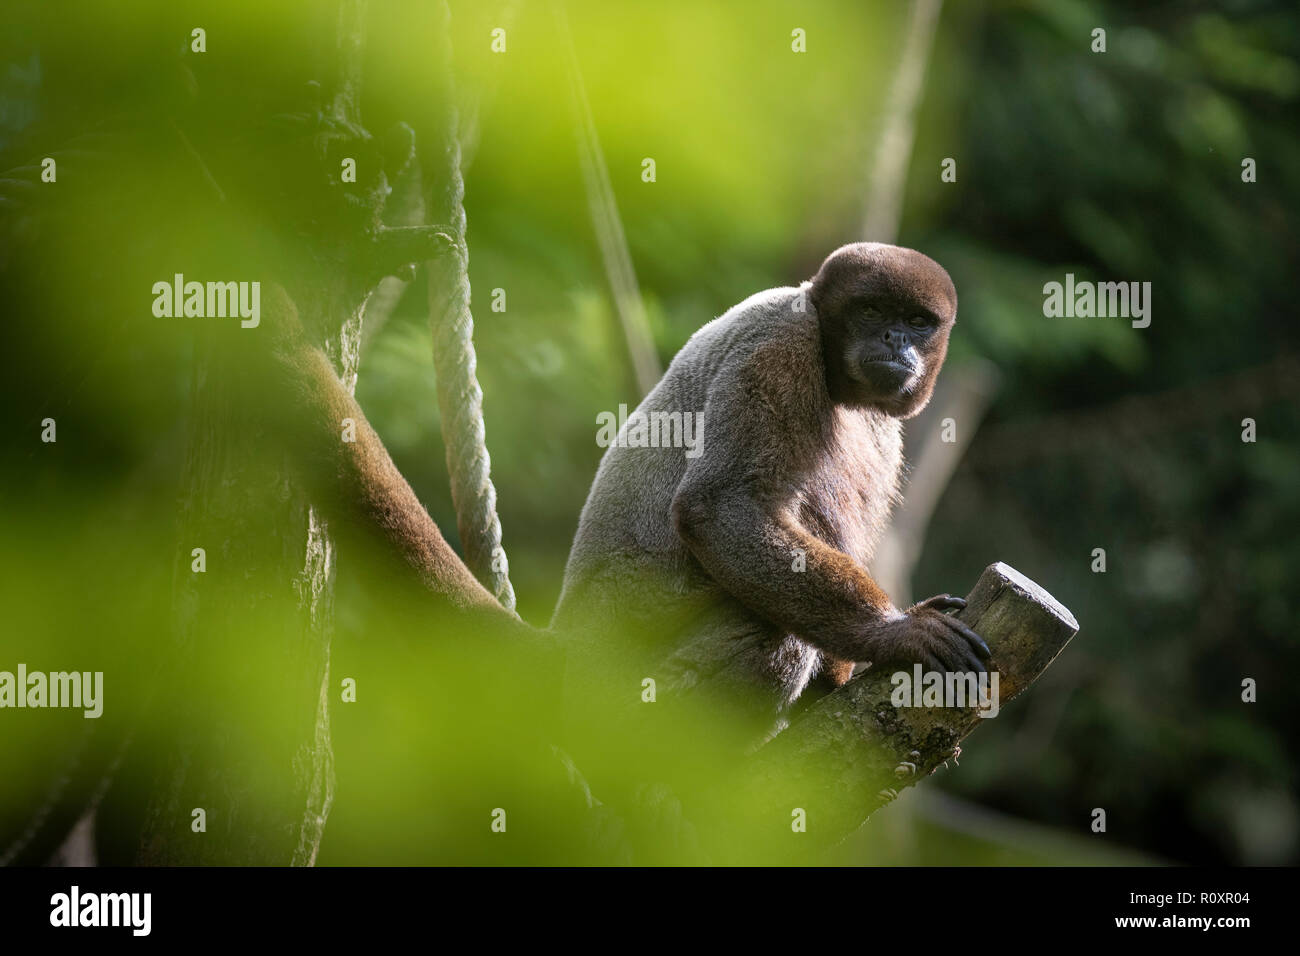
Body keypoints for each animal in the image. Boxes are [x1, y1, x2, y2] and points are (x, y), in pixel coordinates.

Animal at [552, 242, 990, 747]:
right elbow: (720, 505)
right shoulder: (780, 345)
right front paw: (896, 633)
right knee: (774, 627)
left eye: (918, 322)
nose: (895, 338)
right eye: (871, 311)